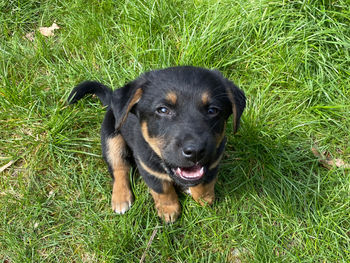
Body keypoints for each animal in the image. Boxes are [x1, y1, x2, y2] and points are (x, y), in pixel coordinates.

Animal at [67, 66, 245, 223]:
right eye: (163, 110)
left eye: (212, 110)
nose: (195, 151)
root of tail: (111, 102)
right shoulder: (148, 168)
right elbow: (162, 190)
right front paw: (169, 211)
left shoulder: (214, 160)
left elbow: (206, 183)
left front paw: (204, 199)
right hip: (111, 138)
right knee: (119, 168)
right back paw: (120, 198)